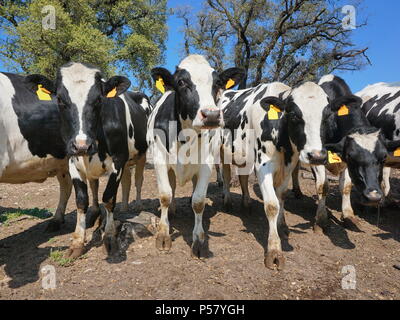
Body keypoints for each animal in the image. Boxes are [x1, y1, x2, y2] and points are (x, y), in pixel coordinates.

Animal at [54, 62, 148, 258]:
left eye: (99, 99)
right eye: (59, 99)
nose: (82, 145)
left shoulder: (118, 161)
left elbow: (109, 197)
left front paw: (110, 237)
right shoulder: (73, 161)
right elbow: (82, 200)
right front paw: (77, 242)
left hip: (141, 155)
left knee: (138, 180)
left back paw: (137, 204)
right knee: (120, 182)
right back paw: (122, 207)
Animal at [148, 54, 245, 258]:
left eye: (218, 83)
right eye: (181, 82)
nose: (211, 115)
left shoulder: (206, 163)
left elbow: (199, 201)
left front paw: (199, 242)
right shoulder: (159, 160)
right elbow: (165, 195)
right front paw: (163, 236)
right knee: (172, 186)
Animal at [220, 81, 330, 268]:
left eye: (327, 116)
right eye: (293, 115)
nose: (317, 156)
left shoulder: (288, 168)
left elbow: (282, 197)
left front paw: (282, 226)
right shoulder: (263, 166)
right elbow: (272, 205)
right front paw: (274, 251)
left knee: (243, 177)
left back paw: (247, 204)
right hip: (222, 151)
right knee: (226, 176)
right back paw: (227, 201)